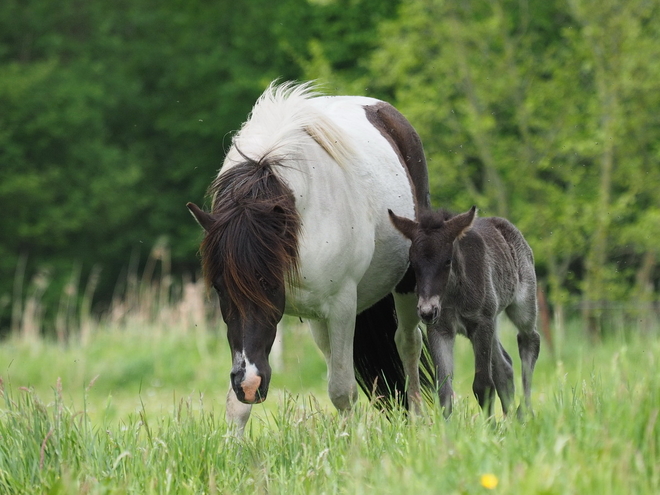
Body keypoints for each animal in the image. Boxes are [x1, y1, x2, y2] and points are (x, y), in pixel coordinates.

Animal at [187, 81, 434, 430]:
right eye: (220, 289)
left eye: (268, 283)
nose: (249, 385)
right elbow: (236, 405)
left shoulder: (342, 307)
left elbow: (342, 390)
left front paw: (352, 441)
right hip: (318, 321)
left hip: (404, 285)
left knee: (408, 342)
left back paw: (417, 421)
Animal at [390, 205, 540, 418]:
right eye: (413, 263)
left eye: (447, 261)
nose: (427, 311)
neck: (453, 294)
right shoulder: (440, 329)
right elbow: (444, 388)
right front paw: (447, 426)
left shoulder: (481, 323)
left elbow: (483, 385)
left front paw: (489, 426)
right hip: (493, 320)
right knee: (504, 366)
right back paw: (511, 417)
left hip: (522, 304)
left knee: (529, 339)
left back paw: (524, 411)